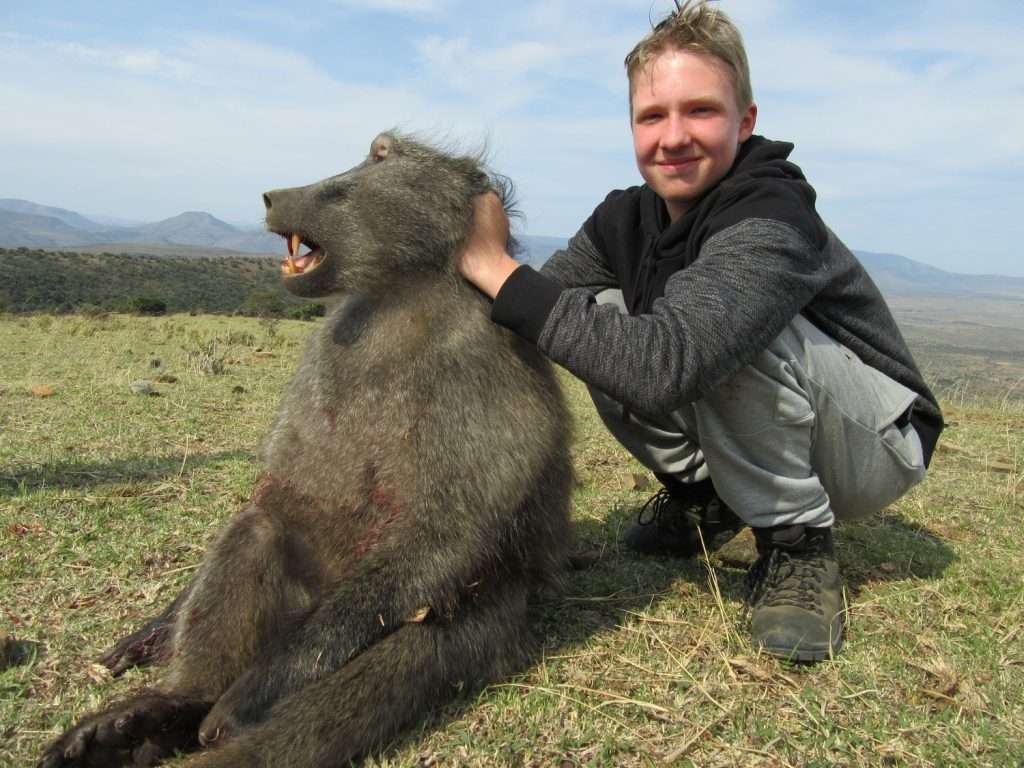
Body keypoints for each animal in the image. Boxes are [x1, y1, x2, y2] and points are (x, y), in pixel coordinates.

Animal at [38, 132, 573, 768]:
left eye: (379, 156)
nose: (272, 196)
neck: (400, 295)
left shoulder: (483, 364)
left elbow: (445, 533)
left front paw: (252, 693)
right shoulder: (328, 350)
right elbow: (283, 491)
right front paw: (152, 637)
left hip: (458, 618)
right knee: (258, 528)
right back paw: (165, 711)